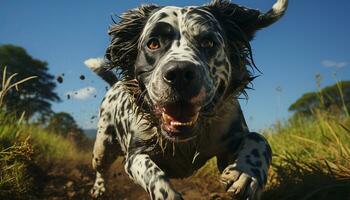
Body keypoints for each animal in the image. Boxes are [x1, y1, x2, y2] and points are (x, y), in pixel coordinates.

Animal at [89, 0, 288, 199]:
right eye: (153, 44)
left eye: (208, 42)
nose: (179, 73)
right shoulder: (135, 155)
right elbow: (153, 174)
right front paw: (166, 193)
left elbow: (258, 139)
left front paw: (246, 174)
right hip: (102, 148)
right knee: (100, 168)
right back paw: (99, 187)